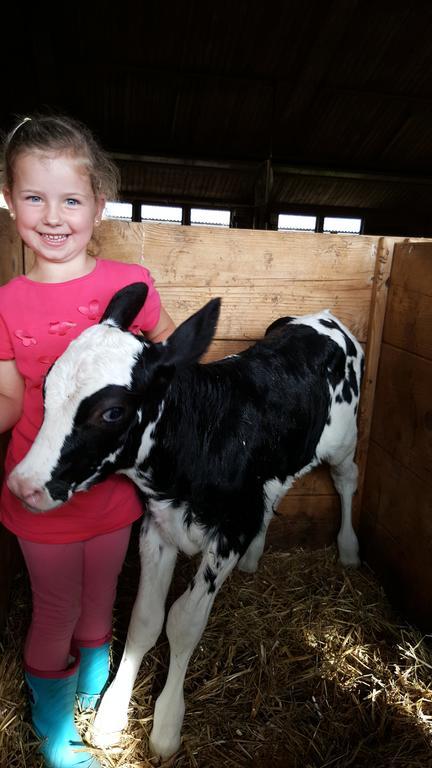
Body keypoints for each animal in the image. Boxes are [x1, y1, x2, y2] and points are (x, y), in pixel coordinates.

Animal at [8, 284, 362, 760]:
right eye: (46, 387)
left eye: (112, 412)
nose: (23, 485)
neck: (198, 440)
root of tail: (321, 316)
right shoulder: (158, 527)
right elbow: (145, 619)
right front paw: (111, 715)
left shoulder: (227, 534)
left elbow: (183, 622)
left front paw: (166, 725)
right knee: (275, 495)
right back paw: (255, 557)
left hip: (343, 441)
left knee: (346, 480)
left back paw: (348, 550)